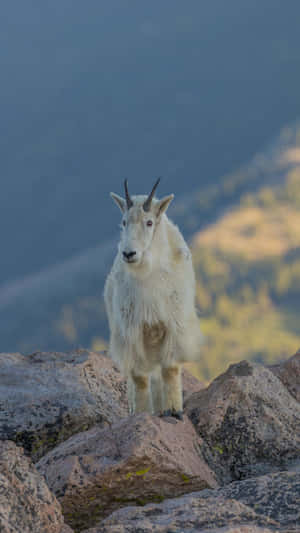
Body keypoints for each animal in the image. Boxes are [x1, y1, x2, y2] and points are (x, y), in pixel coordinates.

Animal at [103, 179, 202, 416]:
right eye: (124, 222)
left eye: (149, 222)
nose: (129, 254)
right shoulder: (132, 330)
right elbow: (139, 378)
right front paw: (141, 412)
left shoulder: (174, 326)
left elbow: (170, 369)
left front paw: (174, 409)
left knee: (158, 375)